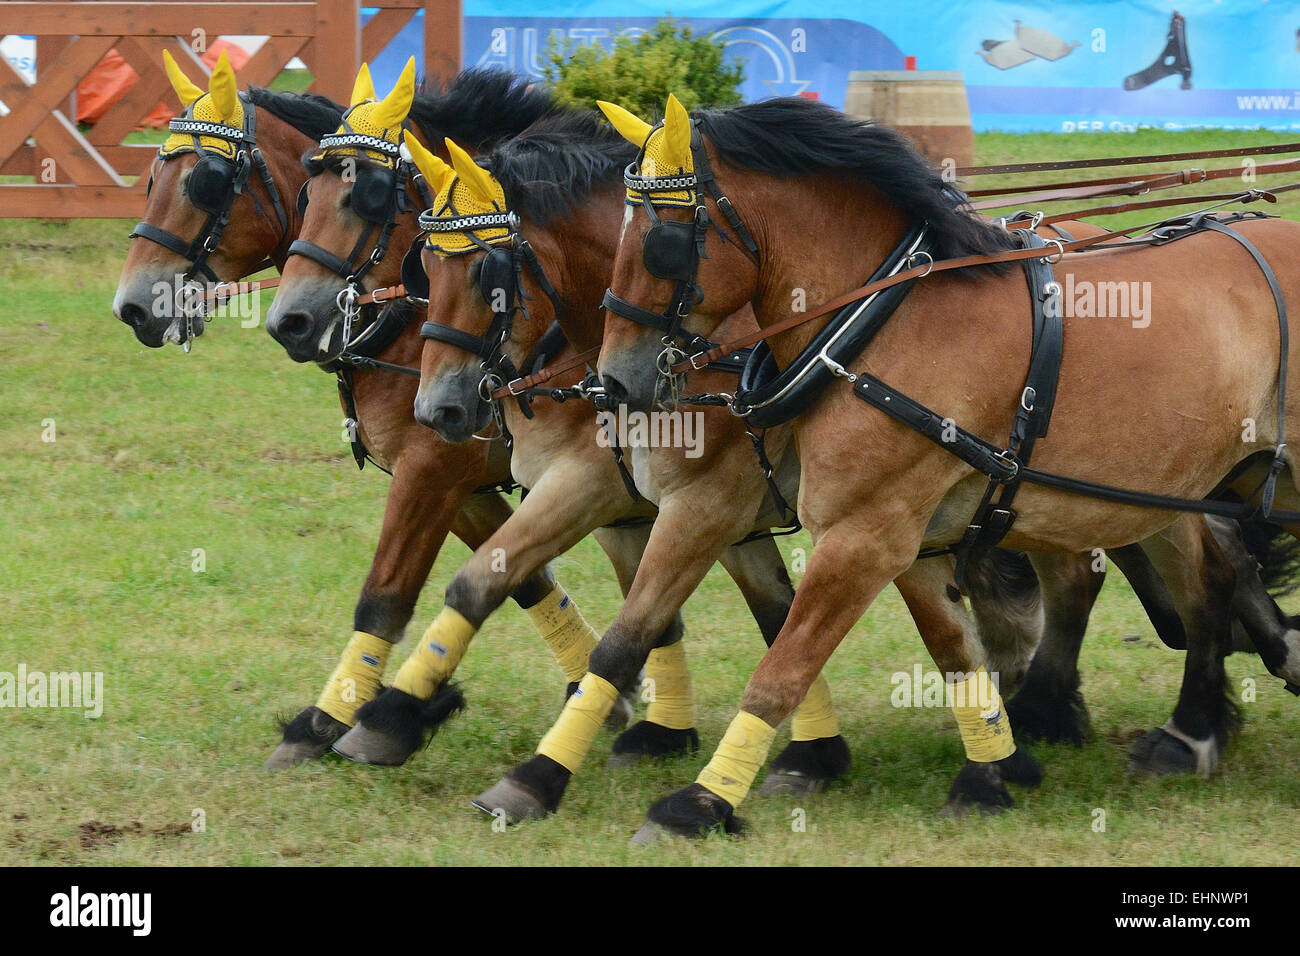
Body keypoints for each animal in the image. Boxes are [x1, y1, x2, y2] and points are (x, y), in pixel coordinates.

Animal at [594, 95, 1300, 836]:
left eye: (661, 240)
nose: (612, 383)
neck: (878, 320)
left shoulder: (862, 535)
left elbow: (782, 668)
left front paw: (697, 802)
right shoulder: (915, 535)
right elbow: (957, 655)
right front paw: (989, 774)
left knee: (1201, 582)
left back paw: (1185, 726)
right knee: (1205, 580)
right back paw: (1180, 727)